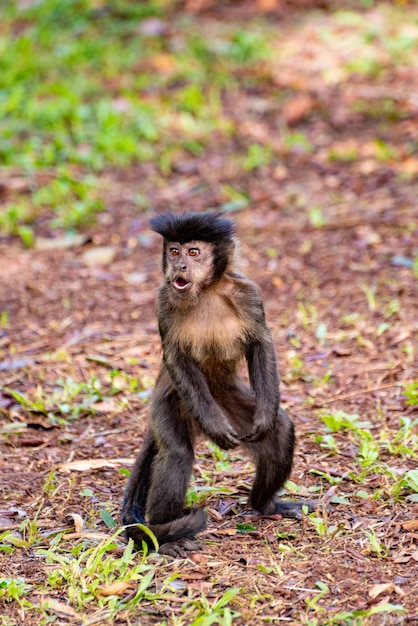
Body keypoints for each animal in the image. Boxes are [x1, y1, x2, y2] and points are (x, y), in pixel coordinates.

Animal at [121, 211, 314, 556]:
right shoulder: (163, 299)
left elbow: (260, 343)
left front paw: (266, 415)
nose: (180, 267)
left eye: (193, 252)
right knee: (176, 455)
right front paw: (214, 428)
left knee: (280, 432)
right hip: (175, 403)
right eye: (174, 251)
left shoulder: (248, 293)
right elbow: (176, 357)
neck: (206, 291)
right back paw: (165, 534)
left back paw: (265, 507)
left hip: (227, 398)